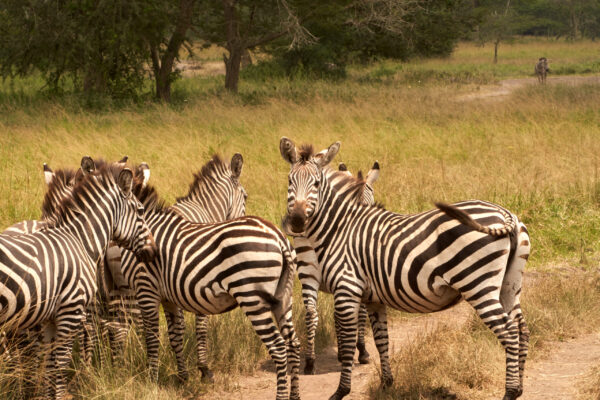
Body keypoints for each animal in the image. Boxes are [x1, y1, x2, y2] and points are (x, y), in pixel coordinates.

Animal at [0, 159, 156, 396]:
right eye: (140, 211)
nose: (153, 250)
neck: (79, 239)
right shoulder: (71, 309)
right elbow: (61, 362)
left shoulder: (50, 317)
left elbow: (50, 363)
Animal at [118, 179, 300, 400]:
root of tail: (278, 237)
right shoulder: (167, 297)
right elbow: (175, 336)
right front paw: (183, 378)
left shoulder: (146, 289)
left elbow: (152, 338)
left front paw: (151, 381)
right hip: (283, 298)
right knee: (293, 344)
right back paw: (295, 395)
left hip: (252, 297)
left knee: (279, 347)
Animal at [300, 159, 380, 376]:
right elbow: (357, 313)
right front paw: (360, 351)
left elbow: (339, 314)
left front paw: (344, 350)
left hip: (307, 273)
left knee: (311, 312)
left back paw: (309, 361)